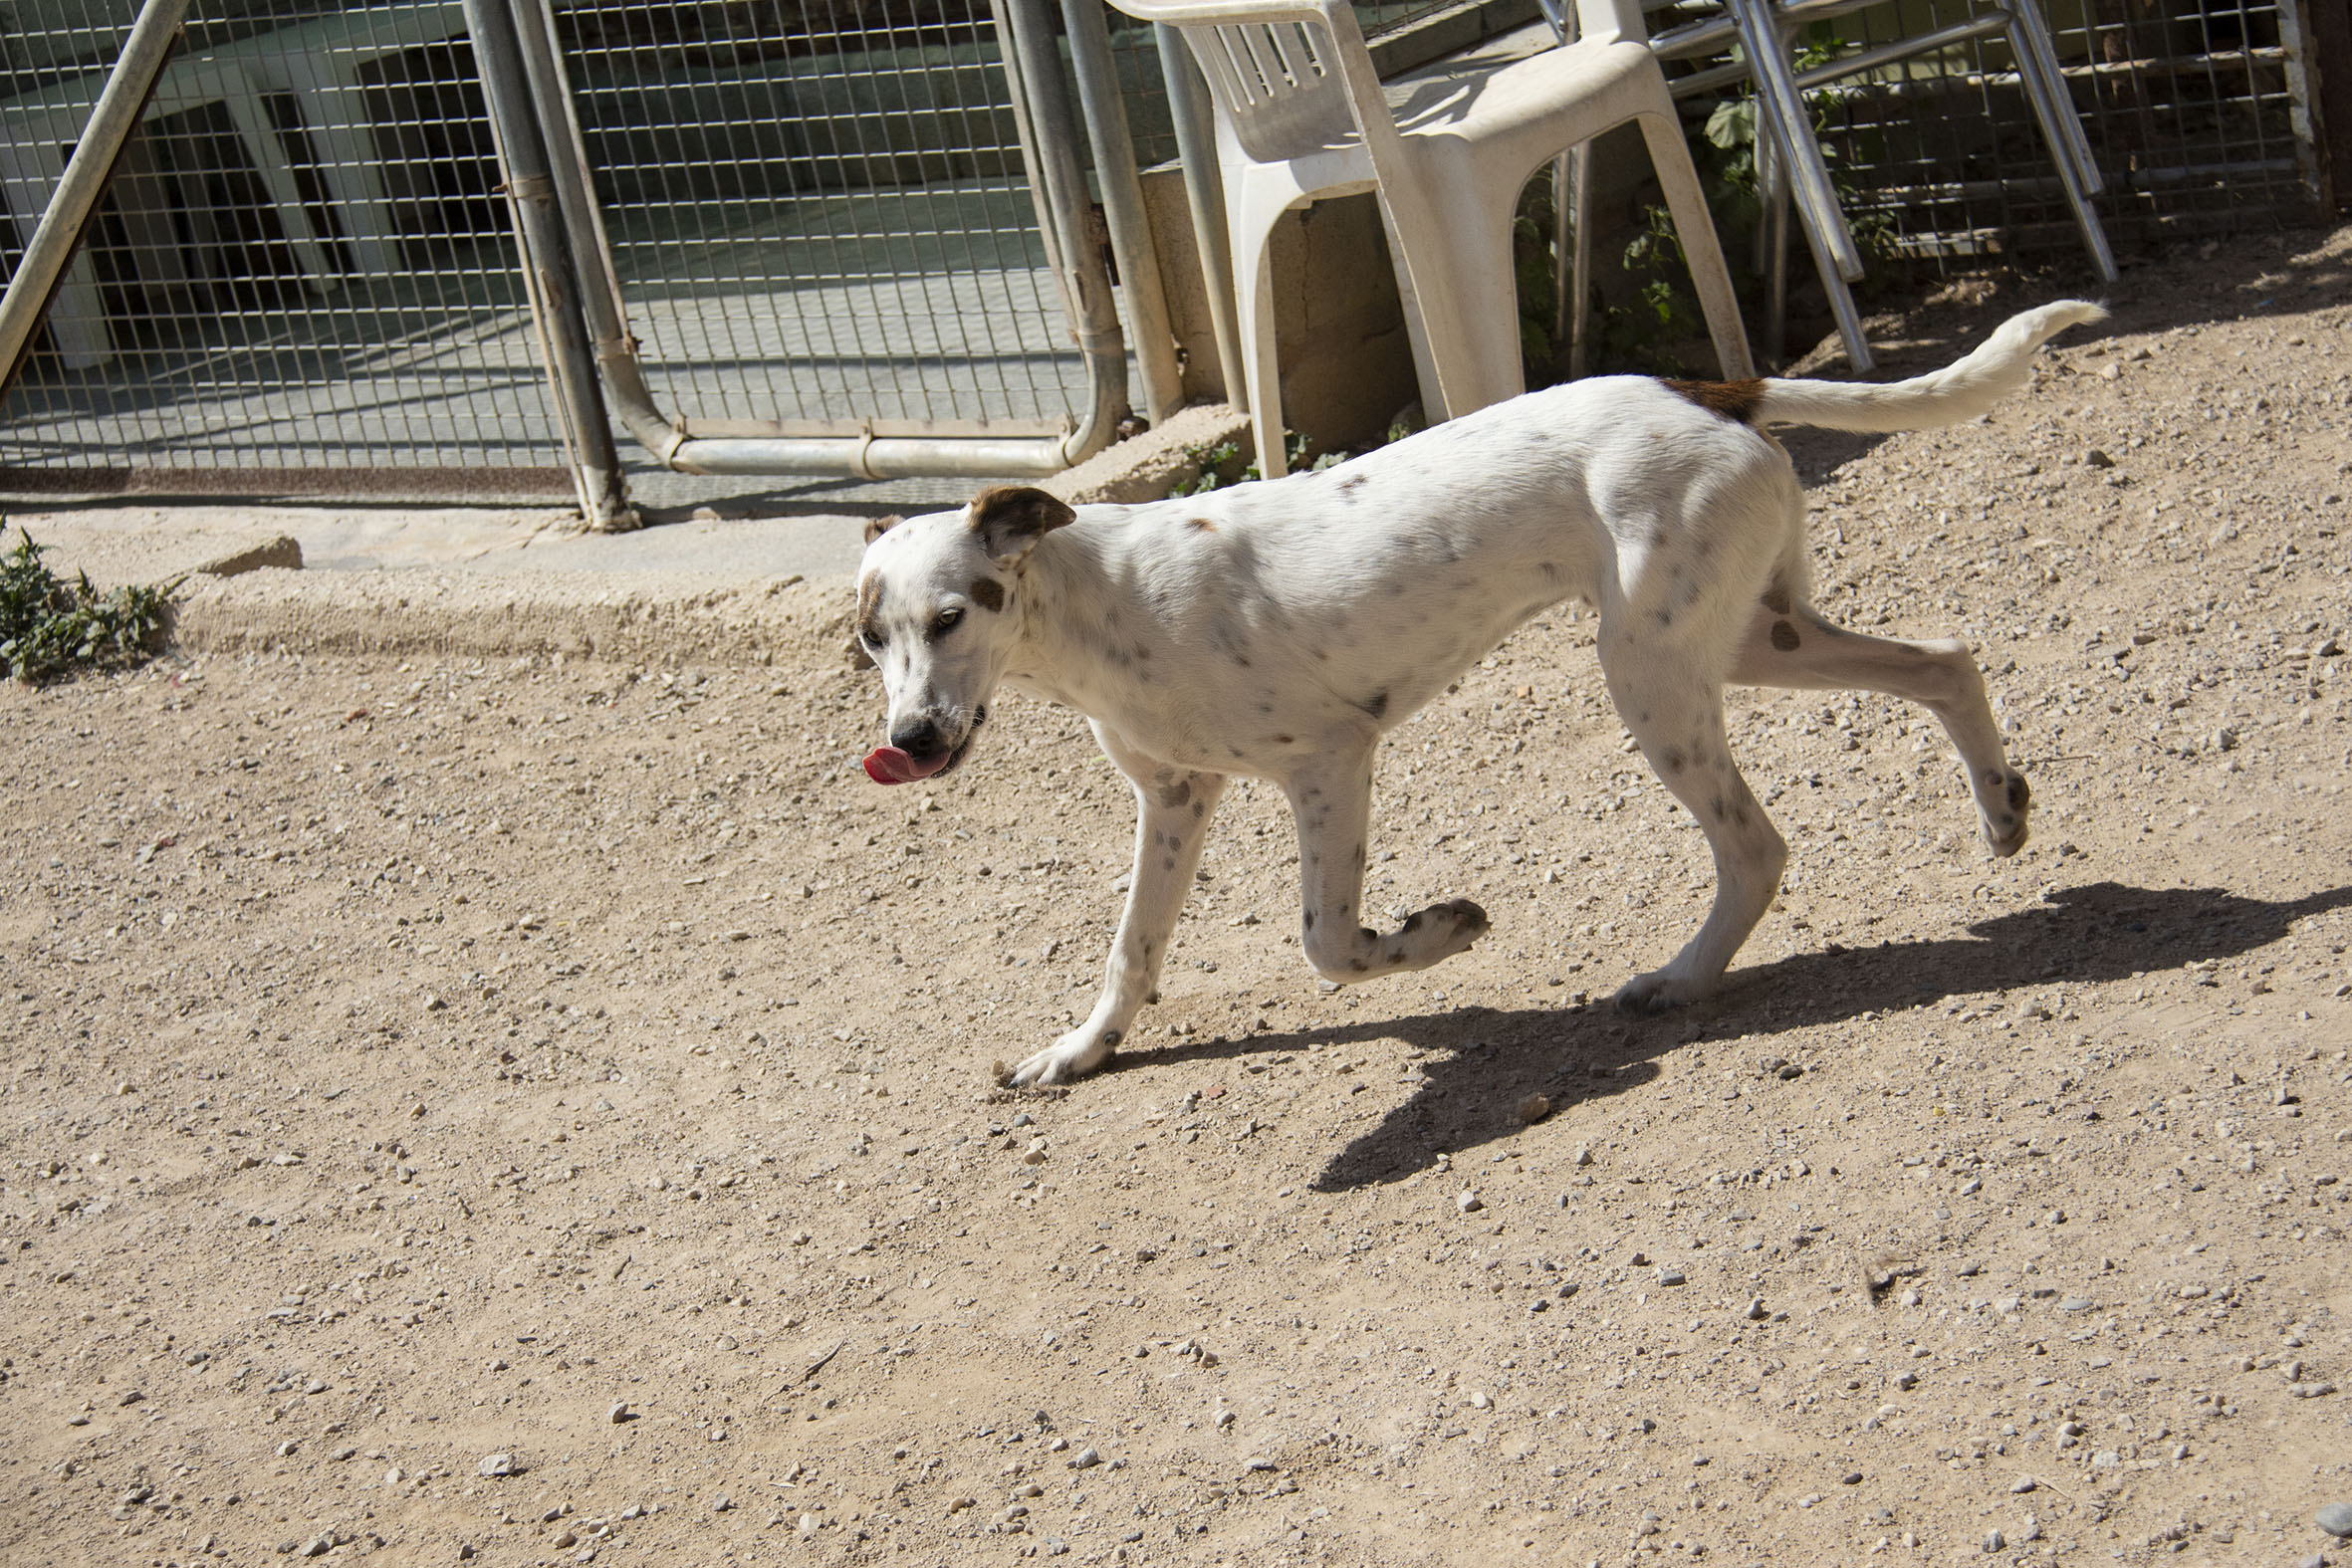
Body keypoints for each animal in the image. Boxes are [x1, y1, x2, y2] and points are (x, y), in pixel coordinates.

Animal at [854, 301, 2104, 1086]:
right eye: (871, 640)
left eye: (954, 615)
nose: (909, 740)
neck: (1099, 605)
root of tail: (1708, 387)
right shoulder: (1174, 801)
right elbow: (1131, 950)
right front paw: (1083, 1050)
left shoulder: (1329, 759)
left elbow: (1328, 943)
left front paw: (1440, 932)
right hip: (1754, 636)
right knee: (1943, 657)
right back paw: (2000, 807)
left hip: (1650, 677)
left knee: (1756, 846)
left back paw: (1681, 981)